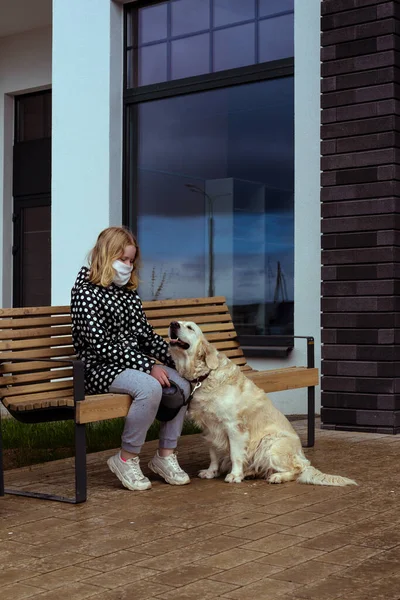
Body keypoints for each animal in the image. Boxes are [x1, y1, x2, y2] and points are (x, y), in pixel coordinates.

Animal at [169, 322, 356, 486]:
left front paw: (235, 475)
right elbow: (214, 453)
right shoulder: (209, 428)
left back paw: (276, 477)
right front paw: (211, 471)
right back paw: (250, 473)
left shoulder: (234, 426)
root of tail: (301, 454)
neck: (205, 376)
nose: (173, 324)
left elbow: (235, 454)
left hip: (270, 443)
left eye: (190, 327)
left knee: (298, 468)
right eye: (179, 323)